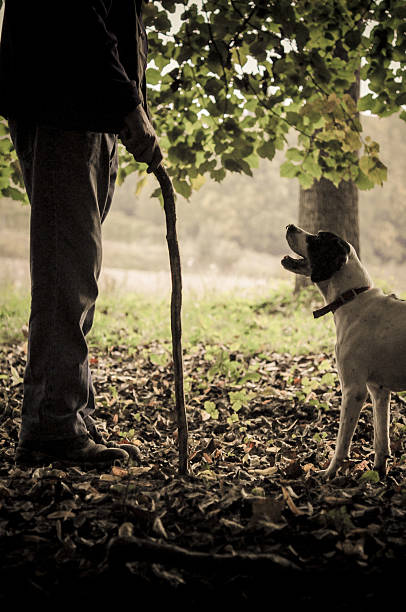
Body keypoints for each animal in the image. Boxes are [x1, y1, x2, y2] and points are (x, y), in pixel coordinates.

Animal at [282, 225, 406, 478]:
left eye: (317, 239)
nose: (289, 226)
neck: (352, 298)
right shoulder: (378, 390)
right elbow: (381, 440)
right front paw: (378, 473)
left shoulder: (353, 390)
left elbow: (342, 443)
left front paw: (329, 473)